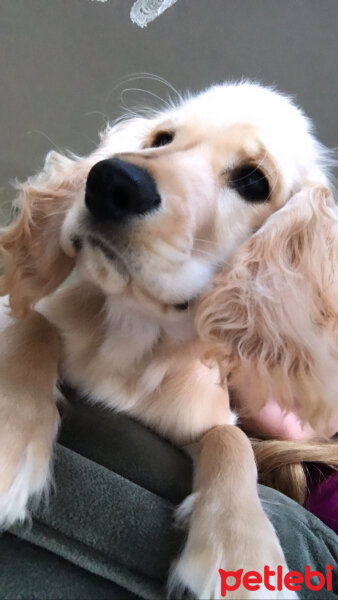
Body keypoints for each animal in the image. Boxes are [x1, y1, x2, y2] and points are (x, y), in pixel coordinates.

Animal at [0, 81, 336, 600]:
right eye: (161, 140)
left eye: (254, 182)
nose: (112, 182)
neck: (137, 333)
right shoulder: (22, 318)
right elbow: (32, 325)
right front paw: (10, 441)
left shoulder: (207, 417)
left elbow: (232, 440)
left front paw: (242, 549)